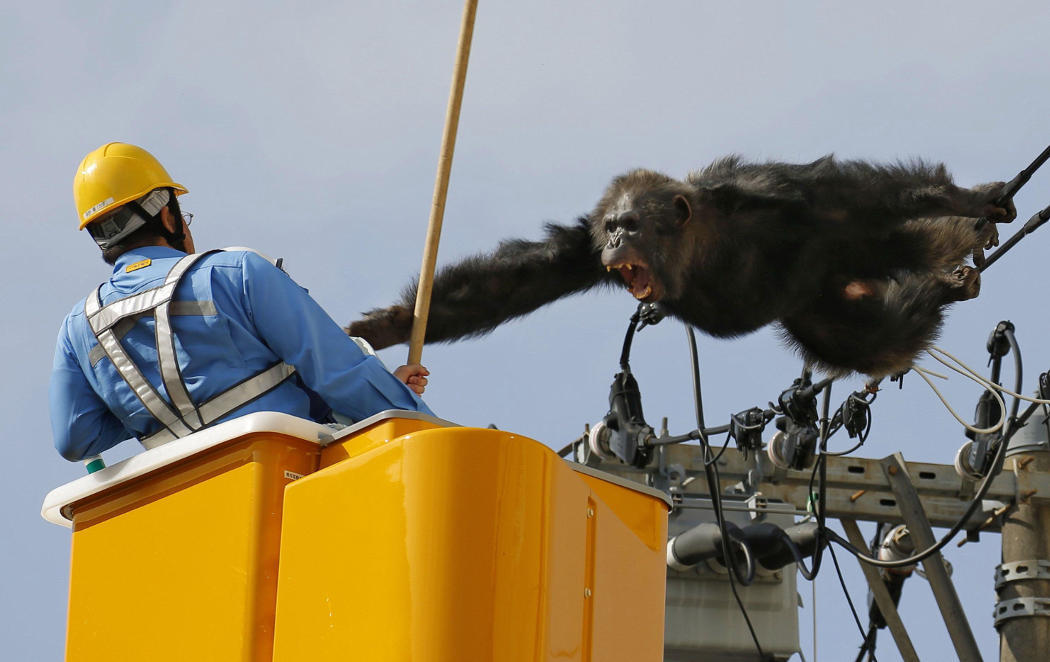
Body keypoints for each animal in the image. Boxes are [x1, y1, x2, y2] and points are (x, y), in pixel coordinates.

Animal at [348, 152, 1012, 376]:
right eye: (611, 226)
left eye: (631, 225)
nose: (616, 243)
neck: (700, 246)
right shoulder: (581, 250)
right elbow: (511, 283)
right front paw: (388, 326)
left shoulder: (779, 196)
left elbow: (850, 194)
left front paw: (966, 199)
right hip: (818, 307)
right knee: (865, 339)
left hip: (854, 254)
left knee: (895, 278)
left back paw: (953, 265)